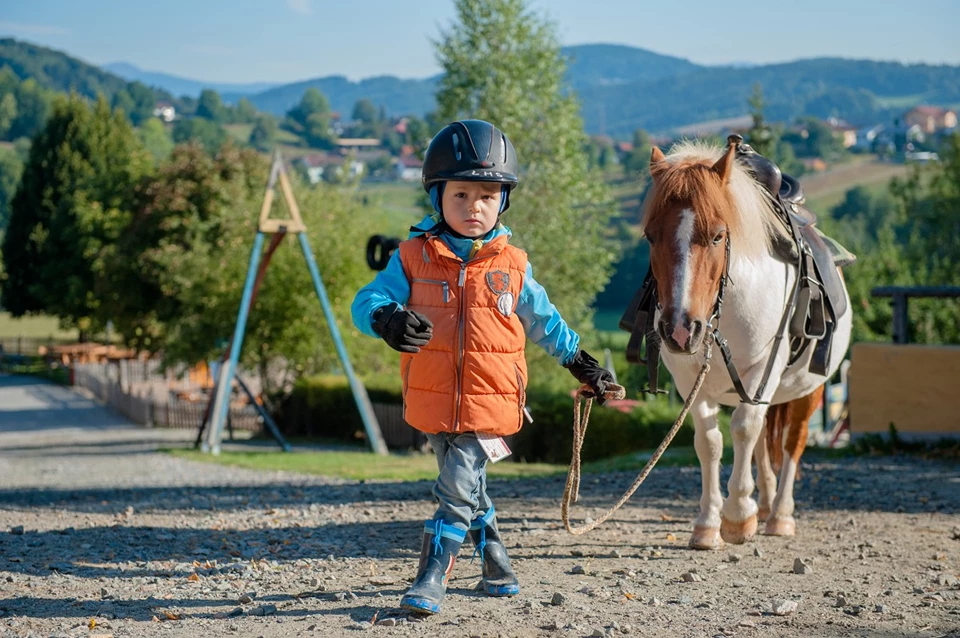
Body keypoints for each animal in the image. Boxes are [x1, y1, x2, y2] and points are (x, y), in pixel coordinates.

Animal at [640, 140, 852, 552]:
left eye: (718, 236)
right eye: (650, 236)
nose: (679, 330)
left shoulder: (762, 369)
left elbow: (743, 428)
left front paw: (738, 516)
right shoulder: (690, 378)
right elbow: (709, 441)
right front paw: (708, 523)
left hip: (809, 390)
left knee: (791, 441)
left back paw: (780, 515)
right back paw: (765, 504)